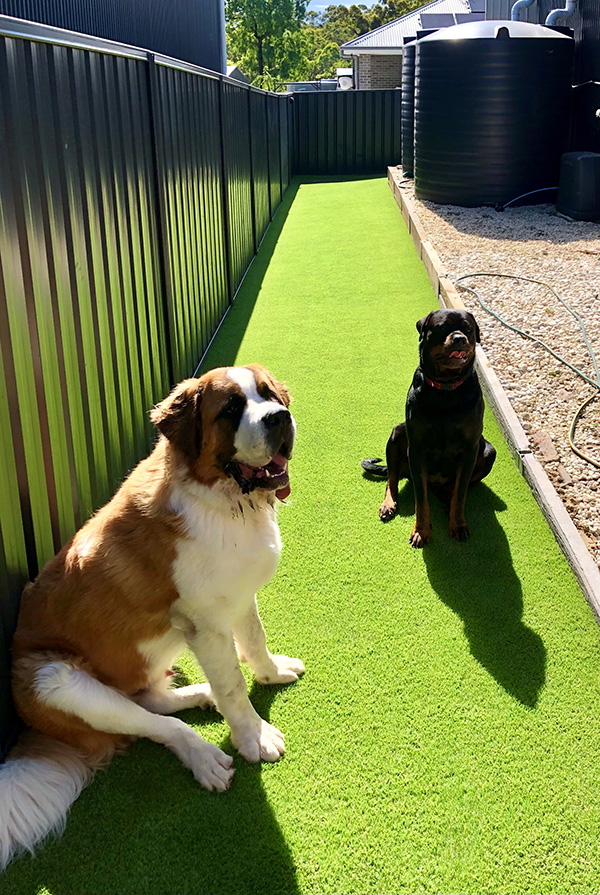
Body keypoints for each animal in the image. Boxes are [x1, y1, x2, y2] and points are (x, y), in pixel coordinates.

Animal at [0, 364, 304, 869]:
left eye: (269, 396)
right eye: (231, 409)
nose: (279, 418)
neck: (223, 502)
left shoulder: (239, 597)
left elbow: (254, 640)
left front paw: (271, 672)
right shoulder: (205, 623)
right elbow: (233, 686)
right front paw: (253, 736)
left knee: (149, 701)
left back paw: (198, 695)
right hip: (53, 680)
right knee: (155, 724)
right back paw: (203, 754)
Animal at [362, 309, 496, 547]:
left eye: (468, 328)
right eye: (442, 328)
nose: (459, 338)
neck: (446, 390)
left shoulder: (470, 449)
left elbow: (460, 493)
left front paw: (457, 523)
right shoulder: (416, 449)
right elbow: (421, 500)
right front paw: (421, 532)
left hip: (489, 451)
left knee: (453, 488)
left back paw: (446, 501)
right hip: (398, 434)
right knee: (392, 478)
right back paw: (389, 504)